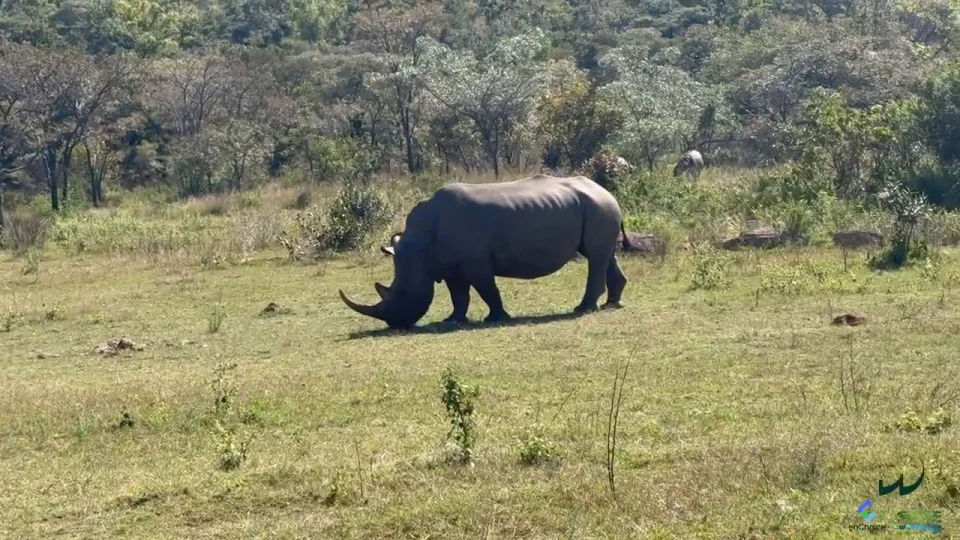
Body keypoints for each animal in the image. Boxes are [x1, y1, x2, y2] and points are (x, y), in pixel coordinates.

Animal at [339, 174, 635, 329]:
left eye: (401, 293)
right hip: (598, 207)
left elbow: (487, 290)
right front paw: (452, 321)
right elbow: (459, 295)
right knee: (604, 255)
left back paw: (583, 309)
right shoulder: (450, 265)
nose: (395, 324)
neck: (419, 250)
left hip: (598, 206)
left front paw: (496, 318)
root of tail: (606, 190)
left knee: (595, 257)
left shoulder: (475, 263)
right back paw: (612, 305)